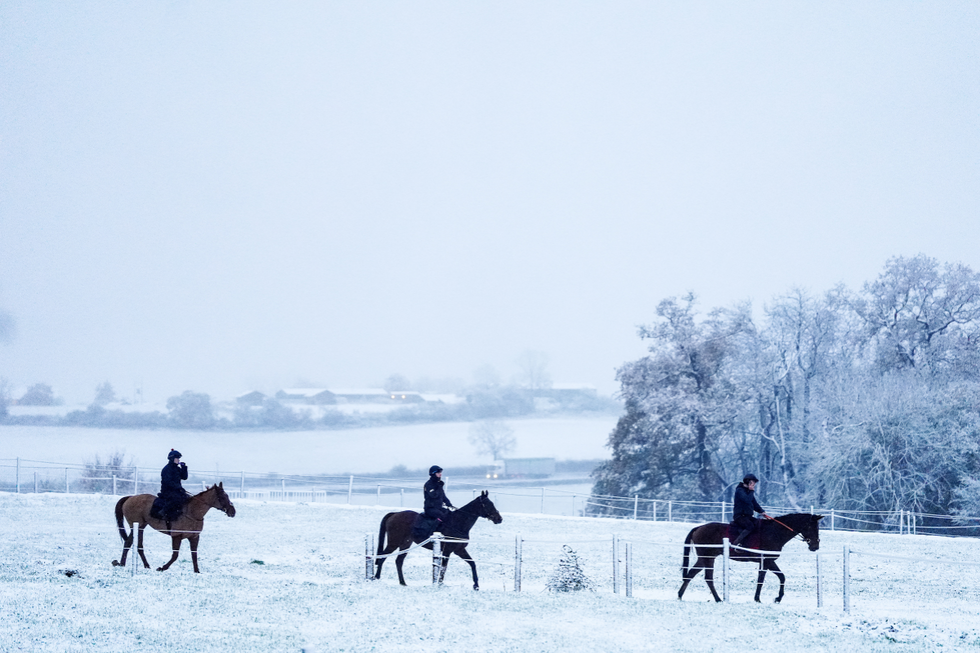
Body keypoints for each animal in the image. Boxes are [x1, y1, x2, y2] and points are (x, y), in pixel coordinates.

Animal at [372, 488, 502, 592]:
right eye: (487, 504)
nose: (499, 519)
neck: (458, 522)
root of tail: (395, 514)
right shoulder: (447, 551)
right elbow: (444, 567)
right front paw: (439, 584)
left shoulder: (459, 550)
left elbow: (472, 563)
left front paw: (476, 585)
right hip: (393, 543)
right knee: (382, 557)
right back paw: (376, 577)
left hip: (405, 544)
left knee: (399, 561)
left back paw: (402, 582)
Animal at [676, 512, 824, 604]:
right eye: (812, 527)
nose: (815, 546)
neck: (774, 532)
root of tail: (698, 527)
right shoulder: (767, 561)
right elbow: (766, 579)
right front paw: (762, 598)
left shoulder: (767, 562)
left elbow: (777, 577)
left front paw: (774, 598)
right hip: (707, 558)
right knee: (707, 578)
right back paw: (718, 599)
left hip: (704, 559)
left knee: (690, 575)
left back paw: (680, 596)